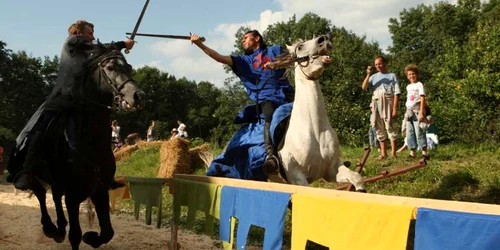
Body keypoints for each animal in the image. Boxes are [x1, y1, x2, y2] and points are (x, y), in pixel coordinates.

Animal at [10, 45, 145, 250]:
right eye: (110, 67)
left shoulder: (100, 190)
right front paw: (80, 235)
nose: (138, 96)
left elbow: (107, 232)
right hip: (34, 175)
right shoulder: (73, 196)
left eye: (129, 68)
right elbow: (75, 235)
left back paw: (59, 228)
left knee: (54, 196)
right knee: (40, 193)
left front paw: (91, 237)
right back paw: (50, 227)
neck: (89, 143)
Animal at [274, 35, 368, 191]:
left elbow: (356, 178)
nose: (324, 40)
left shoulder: (332, 170)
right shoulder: (297, 178)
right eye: (300, 47)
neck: (314, 130)